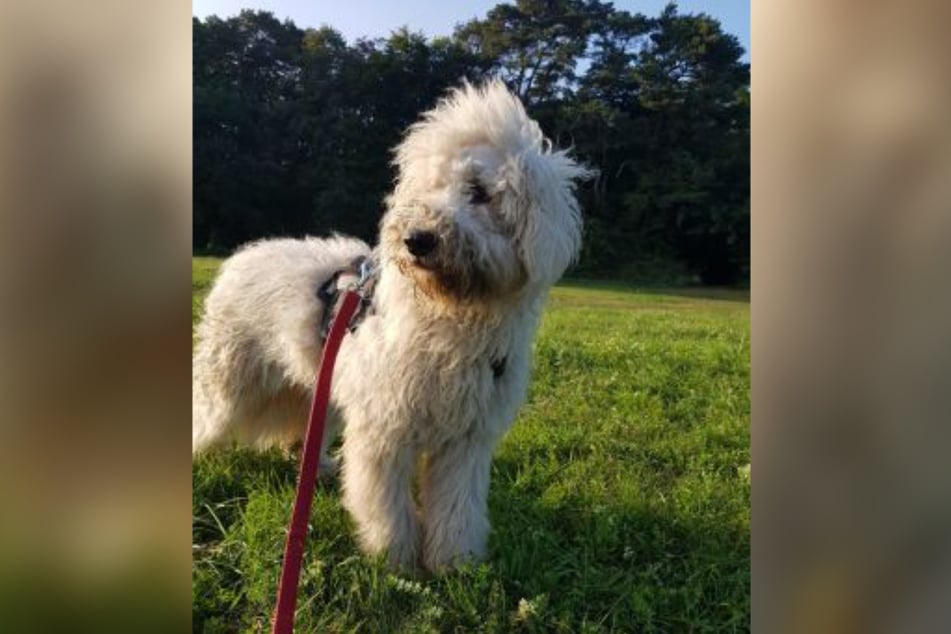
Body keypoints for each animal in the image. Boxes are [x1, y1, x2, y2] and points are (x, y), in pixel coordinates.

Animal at [195, 79, 588, 568]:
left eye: (479, 191)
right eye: (431, 186)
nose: (417, 239)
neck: (449, 319)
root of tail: (239, 259)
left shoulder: (467, 442)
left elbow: (457, 506)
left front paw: (454, 564)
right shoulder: (384, 431)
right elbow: (386, 505)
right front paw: (395, 560)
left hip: (321, 392)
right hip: (228, 385)